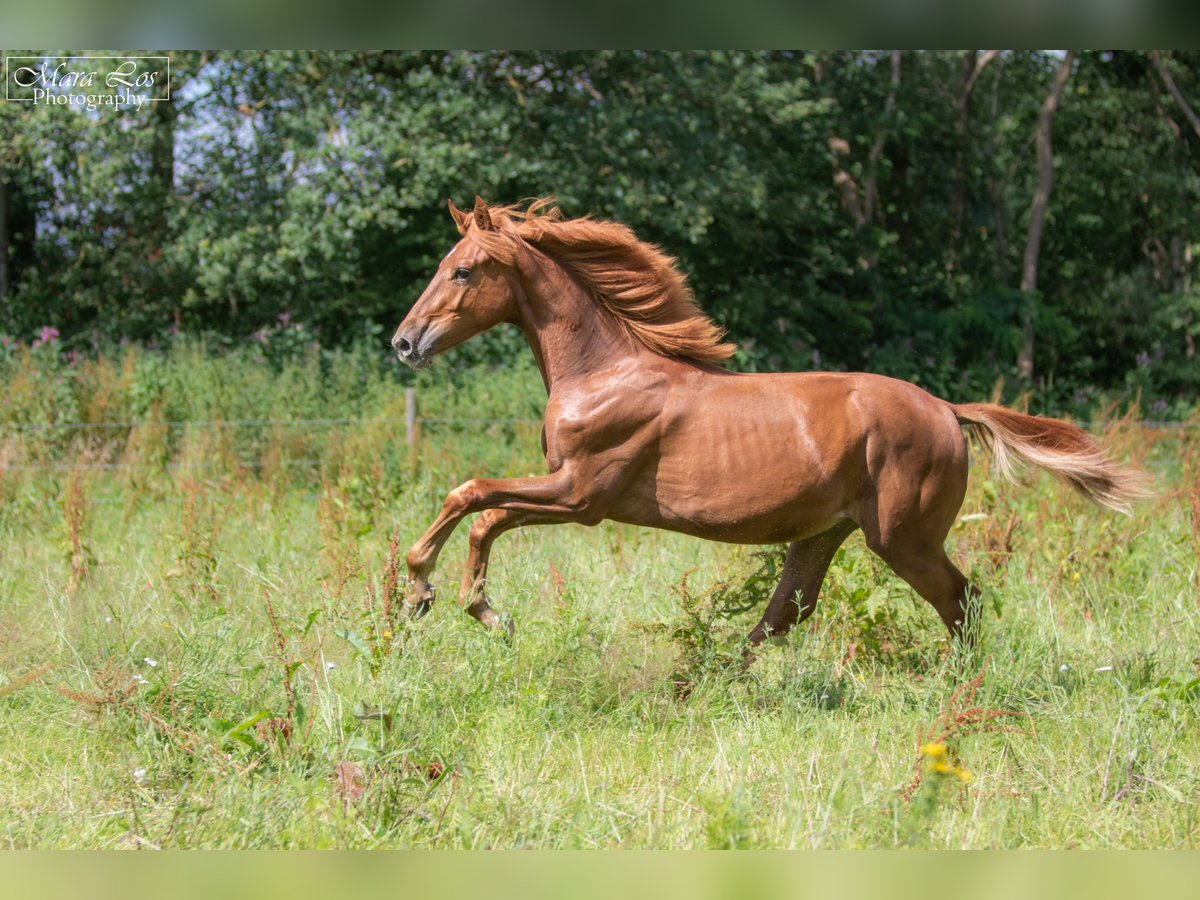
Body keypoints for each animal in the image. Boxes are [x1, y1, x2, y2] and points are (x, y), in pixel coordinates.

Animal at [388, 198, 1147, 648]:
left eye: (463, 271)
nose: (404, 342)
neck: (605, 371)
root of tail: (948, 410)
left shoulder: (582, 495)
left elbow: (475, 500)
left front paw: (453, 598)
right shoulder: (569, 492)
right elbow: (480, 506)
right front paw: (445, 598)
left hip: (903, 539)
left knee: (960, 599)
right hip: (822, 536)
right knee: (783, 618)